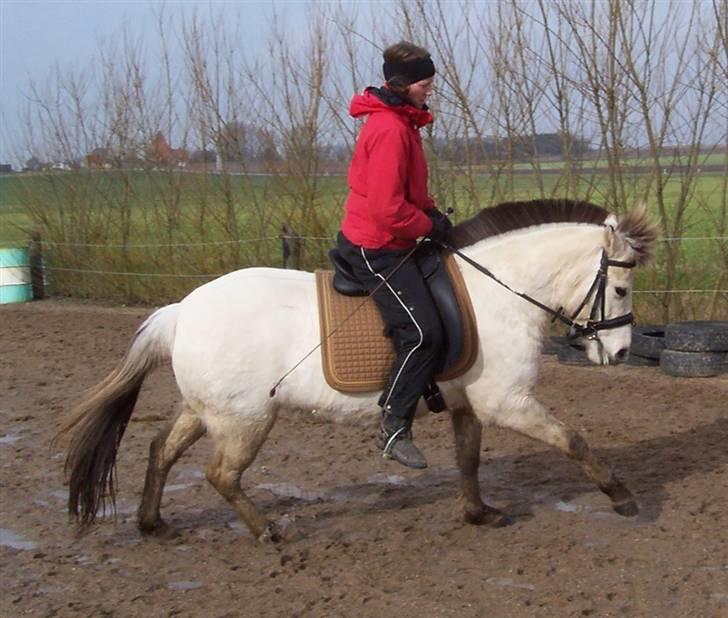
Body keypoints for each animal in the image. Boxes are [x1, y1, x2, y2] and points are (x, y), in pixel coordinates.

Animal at [59, 199, 656, 540]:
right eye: (621, 289)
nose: (622, 353)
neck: (498, 291)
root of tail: (183, 310)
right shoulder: (507, 403)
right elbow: (573, 441)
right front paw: (624, 497)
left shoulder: (468, 403)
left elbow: (468, 460)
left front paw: (479, 514)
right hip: (244, 420)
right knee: (220, 475)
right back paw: (268, 530)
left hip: (207, 410)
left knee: (161, 451)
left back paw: (152, 523)